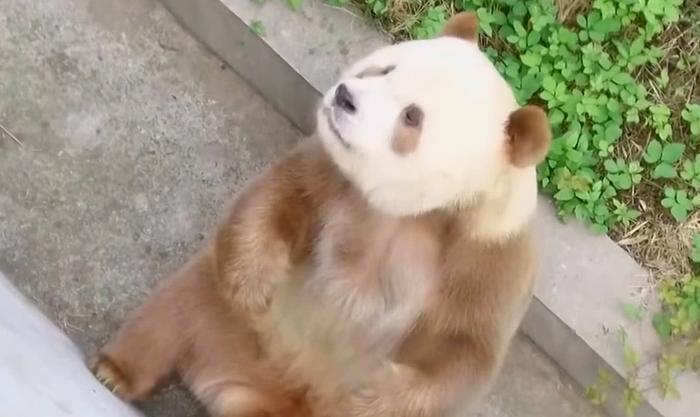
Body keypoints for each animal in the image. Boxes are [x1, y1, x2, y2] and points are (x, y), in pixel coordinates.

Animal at [92, 11, 551, 417]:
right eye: (383, 69)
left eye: (412, 116)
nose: (345, 97)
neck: (418, 214)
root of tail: (258, 391)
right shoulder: (333, 179)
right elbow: (280, 198)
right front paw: (256, 283)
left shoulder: (486, 258)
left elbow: (463, 352)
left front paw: (369, 395)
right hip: (229, 323)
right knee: (174, 312)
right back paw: (114, 372)